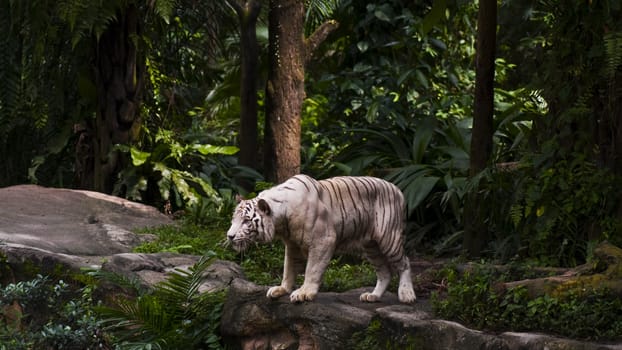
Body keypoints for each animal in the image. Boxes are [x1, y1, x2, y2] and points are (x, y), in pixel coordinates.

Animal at [227, 174, 416, 304]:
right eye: (233, 219)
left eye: (246, 221)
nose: (229, 236)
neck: (280, 220)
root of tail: (397, 189)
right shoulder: (292, 245)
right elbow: (288, 269)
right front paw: (282, 289)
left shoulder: (323, 240)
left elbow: (312, 269)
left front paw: (304, 293)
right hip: (371, 246)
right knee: (384, 271)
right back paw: (373, 296)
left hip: (389, 238)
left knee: (405, 263)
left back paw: (407, 295)